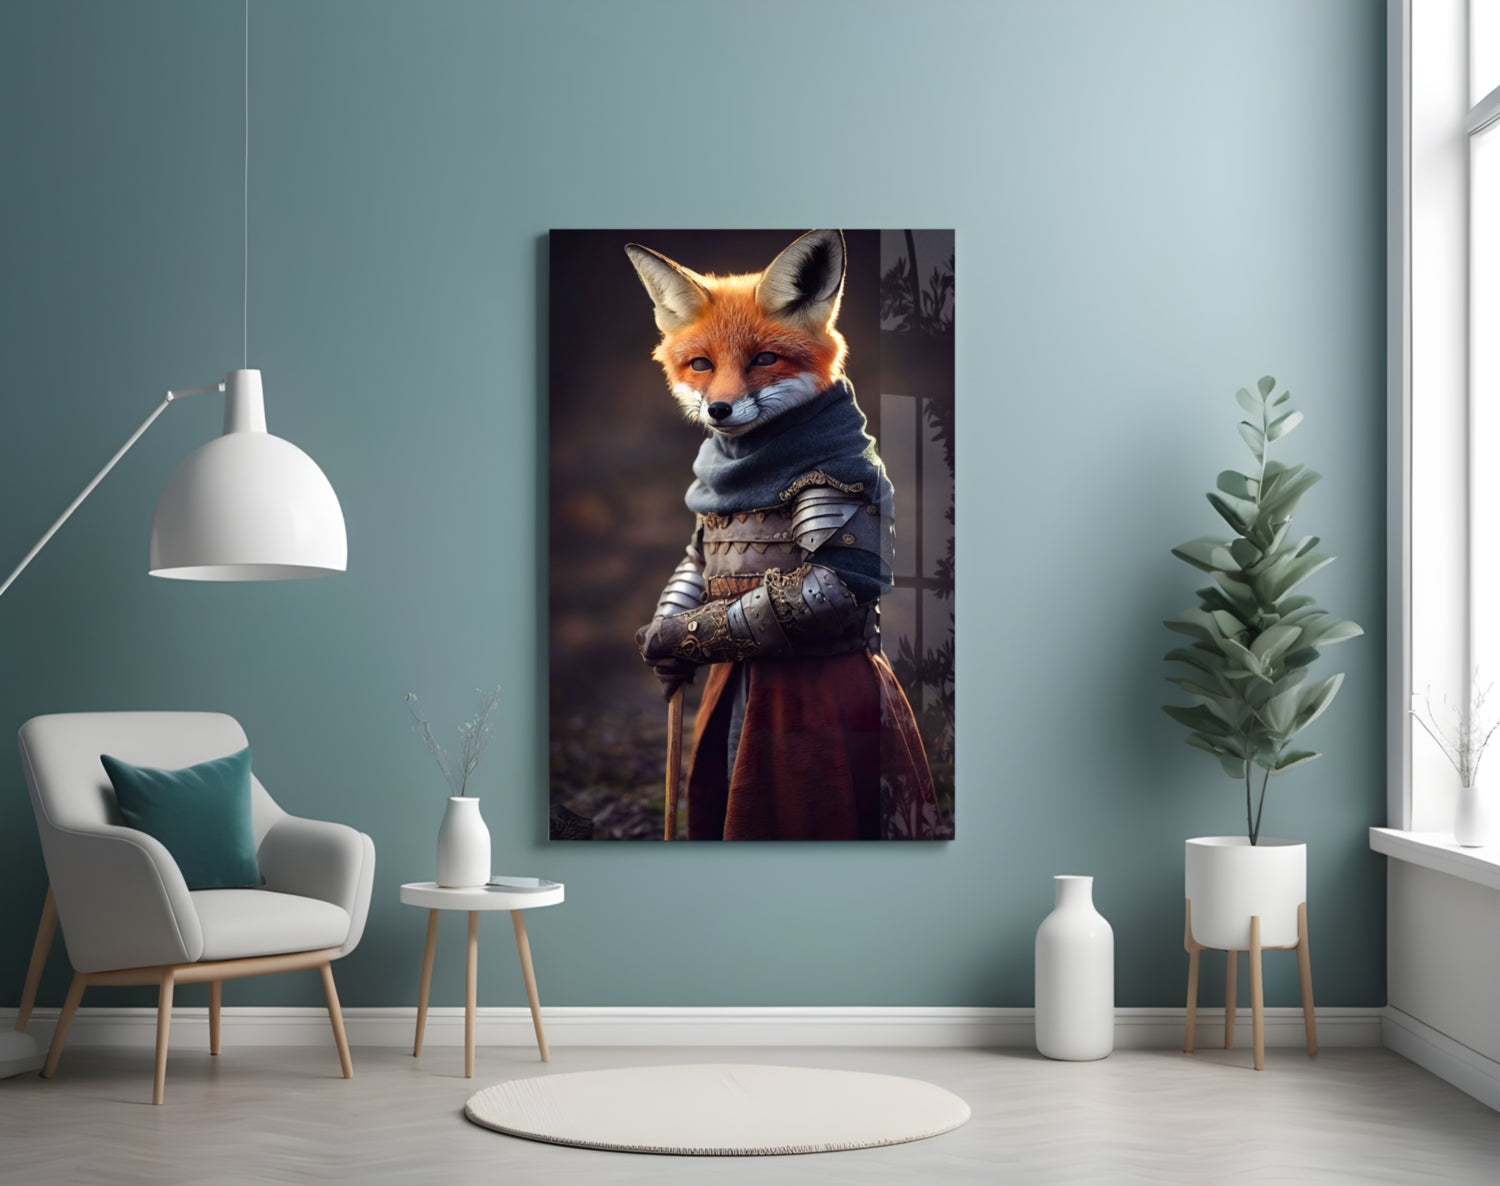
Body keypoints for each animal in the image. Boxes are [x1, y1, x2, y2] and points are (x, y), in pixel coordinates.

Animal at [627, 229, 939, 841]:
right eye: (701, 364)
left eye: (764, 359)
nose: (719, 410)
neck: (749, 465)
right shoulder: (700, 531)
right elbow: (691, 566)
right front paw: (664, 654)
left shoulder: (840, 487)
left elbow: (829, 583)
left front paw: (667, 639)